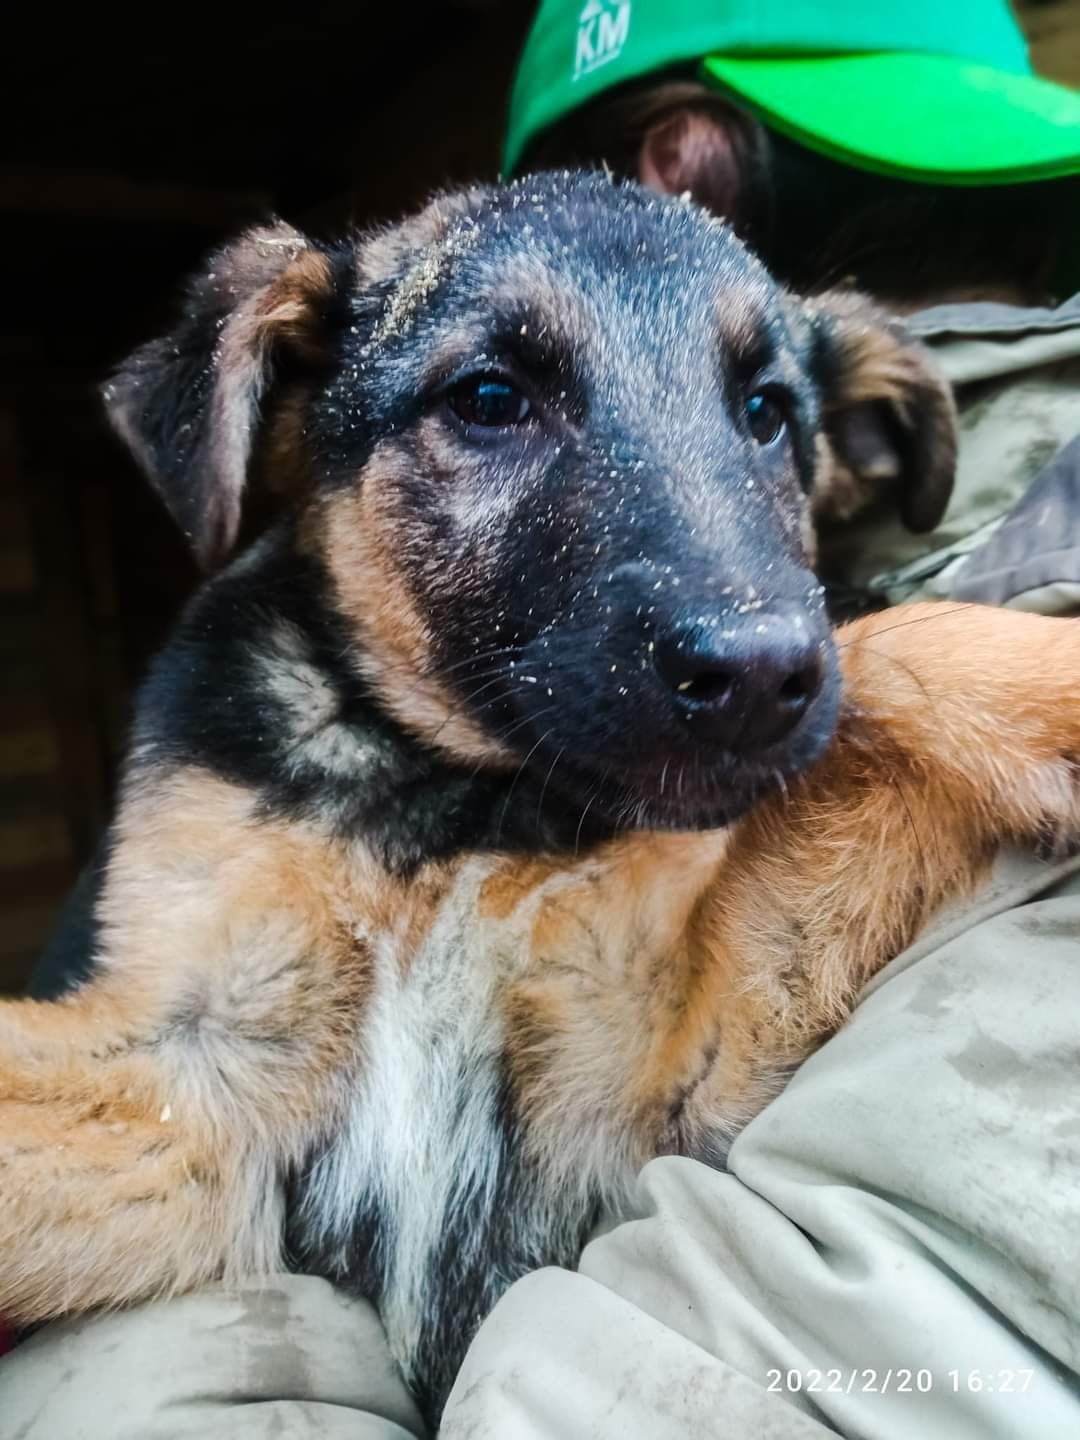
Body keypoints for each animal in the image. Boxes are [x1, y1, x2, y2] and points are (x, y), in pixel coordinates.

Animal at [2, 174, 1080, 1422]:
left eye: (767, 413)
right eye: (488, 399)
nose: (760, 674)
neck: (460, 810)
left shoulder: (662, 1092)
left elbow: (888, 660)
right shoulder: (198, 1086)